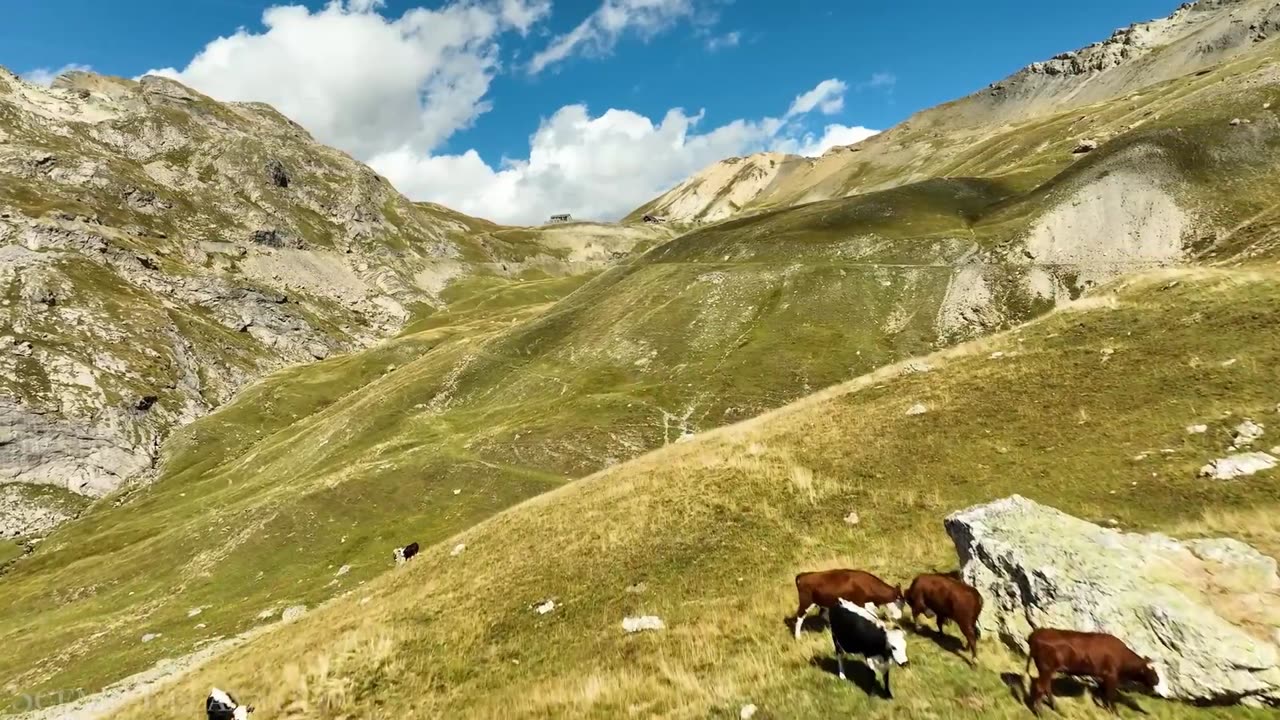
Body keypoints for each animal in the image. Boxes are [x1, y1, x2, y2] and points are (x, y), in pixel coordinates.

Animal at [1024, 625, 1167, 707]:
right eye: (1150, 671)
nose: (1157, 680)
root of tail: (1035, 633)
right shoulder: (1111, 675)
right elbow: (1110, 695)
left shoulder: (1104, 676)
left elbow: (1101, 692)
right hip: (1046, 668)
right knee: (1041, 686)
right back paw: (1039, 711)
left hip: (1046, 669)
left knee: (1046, 687)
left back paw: (1054, 706)